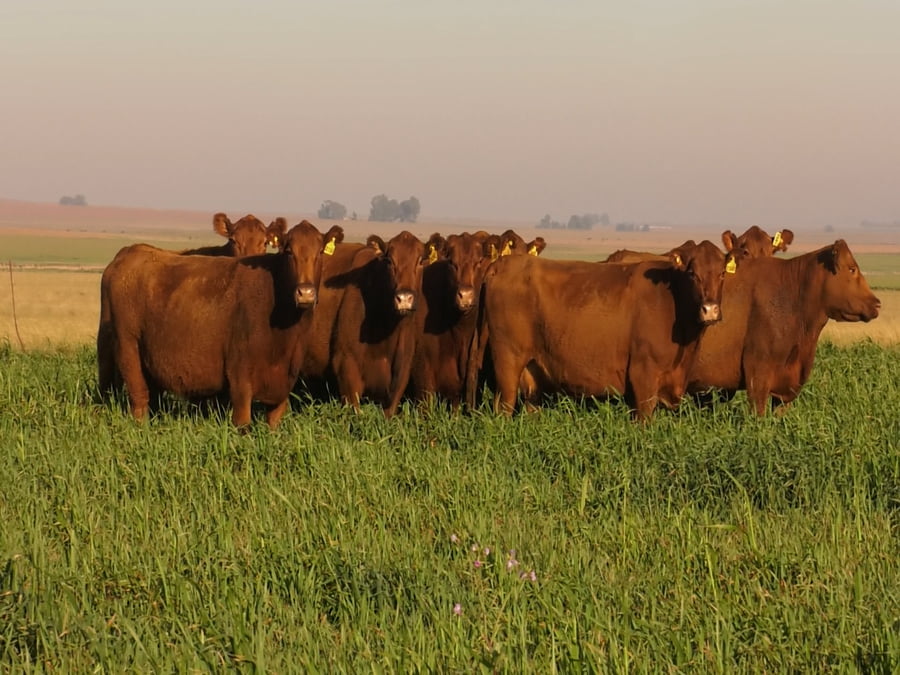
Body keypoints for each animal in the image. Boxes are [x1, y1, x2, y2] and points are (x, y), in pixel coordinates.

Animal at [97, 221, 344, 428]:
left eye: (320, 252)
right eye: (289, 251)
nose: (306, 293)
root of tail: (132, 251)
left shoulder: (283, 386)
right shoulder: (239, 379)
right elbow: (242, 423)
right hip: (127, 348)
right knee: (139, 400)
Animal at [478, 240, 732, 419]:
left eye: (722, 273)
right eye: (692, 273)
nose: (710, 310)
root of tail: (502, 264)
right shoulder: (643, 378)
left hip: (532, 371)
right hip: (508, 362)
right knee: (504, 407)